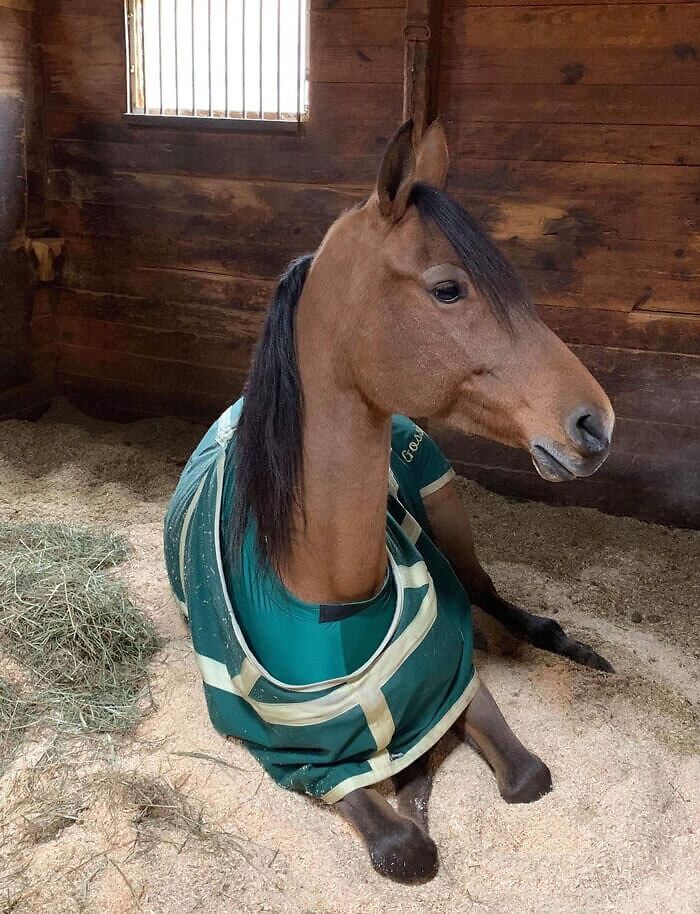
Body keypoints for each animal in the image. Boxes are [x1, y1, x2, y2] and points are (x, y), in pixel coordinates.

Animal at [164, 119, 615, 884]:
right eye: (448, 289)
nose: (595, 424)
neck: (327, 582)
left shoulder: (459, 680)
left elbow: (526, 775)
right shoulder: (297, 759)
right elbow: (404, 847)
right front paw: (412, 798)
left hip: (451, 518)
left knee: (488, 593)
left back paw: (567, 643)